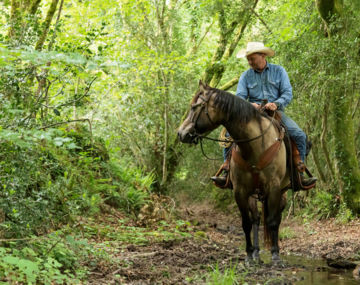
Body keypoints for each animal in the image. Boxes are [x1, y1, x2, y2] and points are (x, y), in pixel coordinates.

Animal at [178, 80, 290, 262]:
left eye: (195, 107)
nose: (181, 133)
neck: (254, 145)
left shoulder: (274, 187)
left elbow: (273, 221)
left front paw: (275, 255)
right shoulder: (240, 190)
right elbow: (246, 223)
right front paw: (249, 255)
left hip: (282, 192)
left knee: (276, 218)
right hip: (253, 193)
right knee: (256, 219)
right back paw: (257, 253)